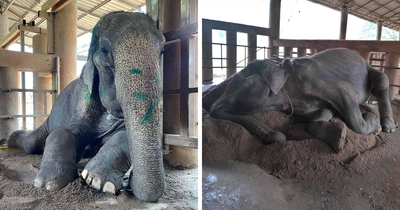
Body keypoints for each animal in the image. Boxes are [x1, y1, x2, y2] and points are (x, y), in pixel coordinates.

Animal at [6, 11, 166, 202]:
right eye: (104, 51)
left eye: (162, 50)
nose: (129, 183)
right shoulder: (84, 99)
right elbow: (64, 131)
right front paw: (48, 183)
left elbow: (124, 134)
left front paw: (98, 181)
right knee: (31, 143)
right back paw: (10, 139)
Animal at [205, 48, 398, 152]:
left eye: (237, 82)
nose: (277, 135)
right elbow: (323, 112)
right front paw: (338, 134)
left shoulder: (320, 81)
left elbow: (347, 96)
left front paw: (374, 124)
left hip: (373, 73)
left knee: (382, 81)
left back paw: (388, 126)